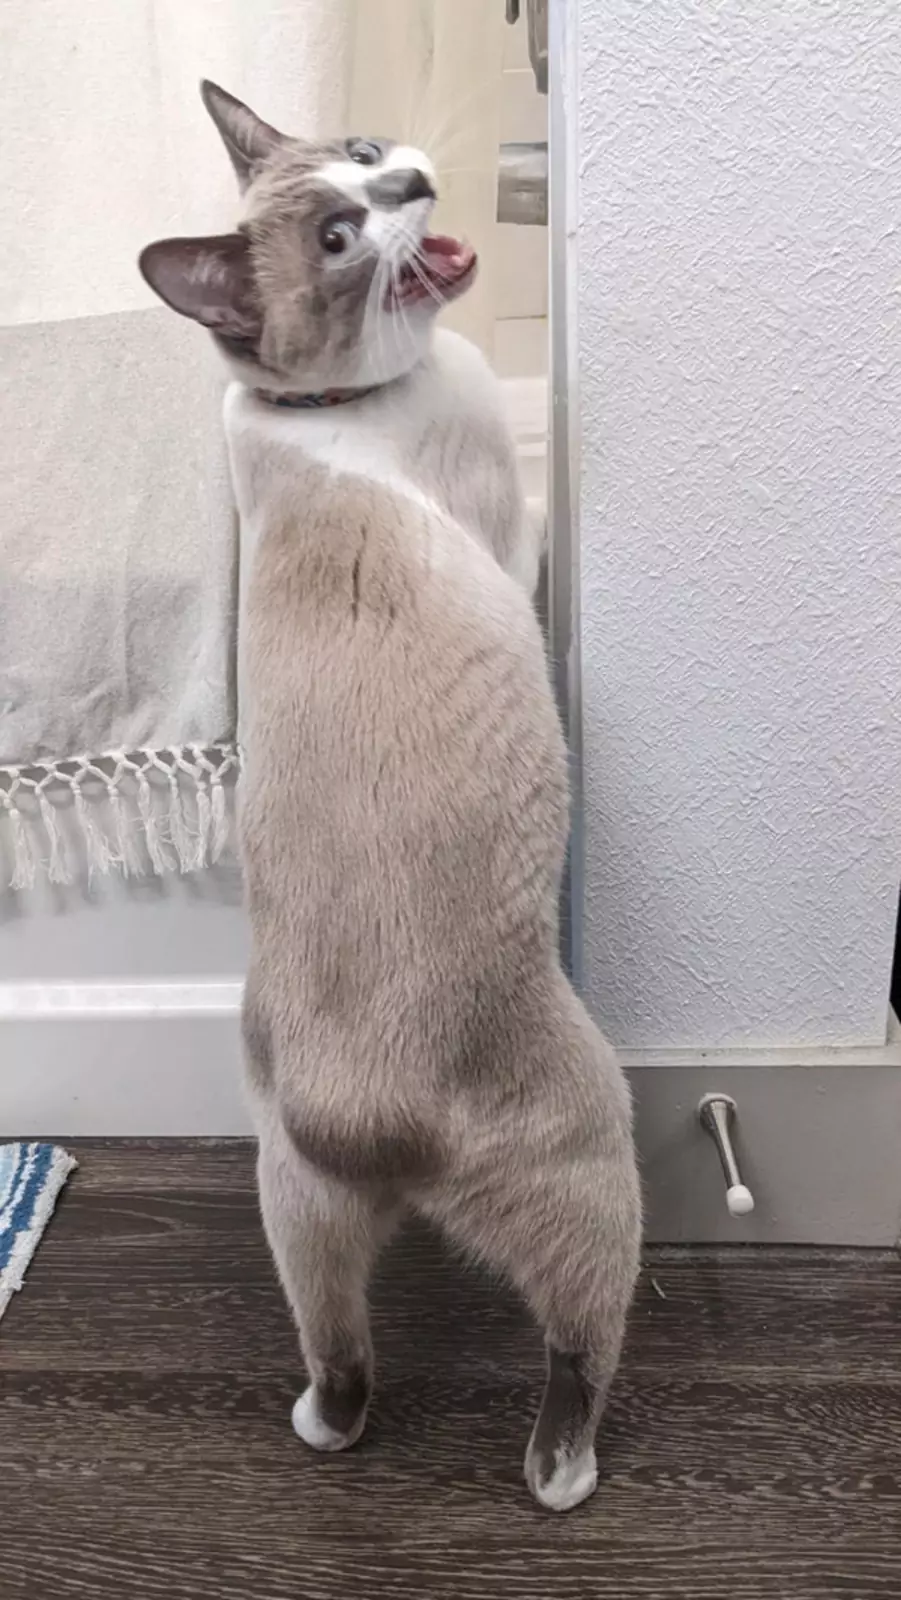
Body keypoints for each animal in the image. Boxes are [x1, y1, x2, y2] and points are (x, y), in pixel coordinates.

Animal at [140, 80, 640, 1513]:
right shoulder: (509, 533)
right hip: (593, 1154)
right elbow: (538, 525)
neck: (305, 410)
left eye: (364, 159)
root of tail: (374, 1127)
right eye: (337, 239)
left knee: (344, 1356)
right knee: (576, 1352)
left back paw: (319, 1424)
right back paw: (562, 1472)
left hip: (292, 1204)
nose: (411, 184)